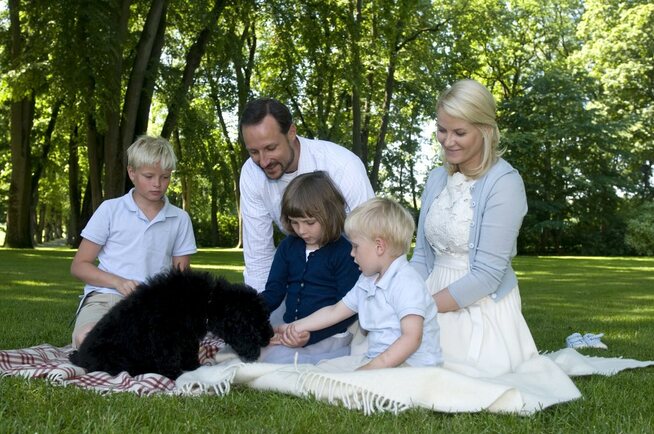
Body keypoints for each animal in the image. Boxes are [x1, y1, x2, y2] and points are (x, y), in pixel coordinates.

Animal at [66, 268, 272, 380]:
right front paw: (175, 375)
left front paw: (194, 367)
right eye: (256, 320)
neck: (207, 300)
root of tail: (80, 357)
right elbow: (169, 358)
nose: (270, 335)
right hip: (115, 356)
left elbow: (189, 353)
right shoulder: (164, 335)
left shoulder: (187, 336)